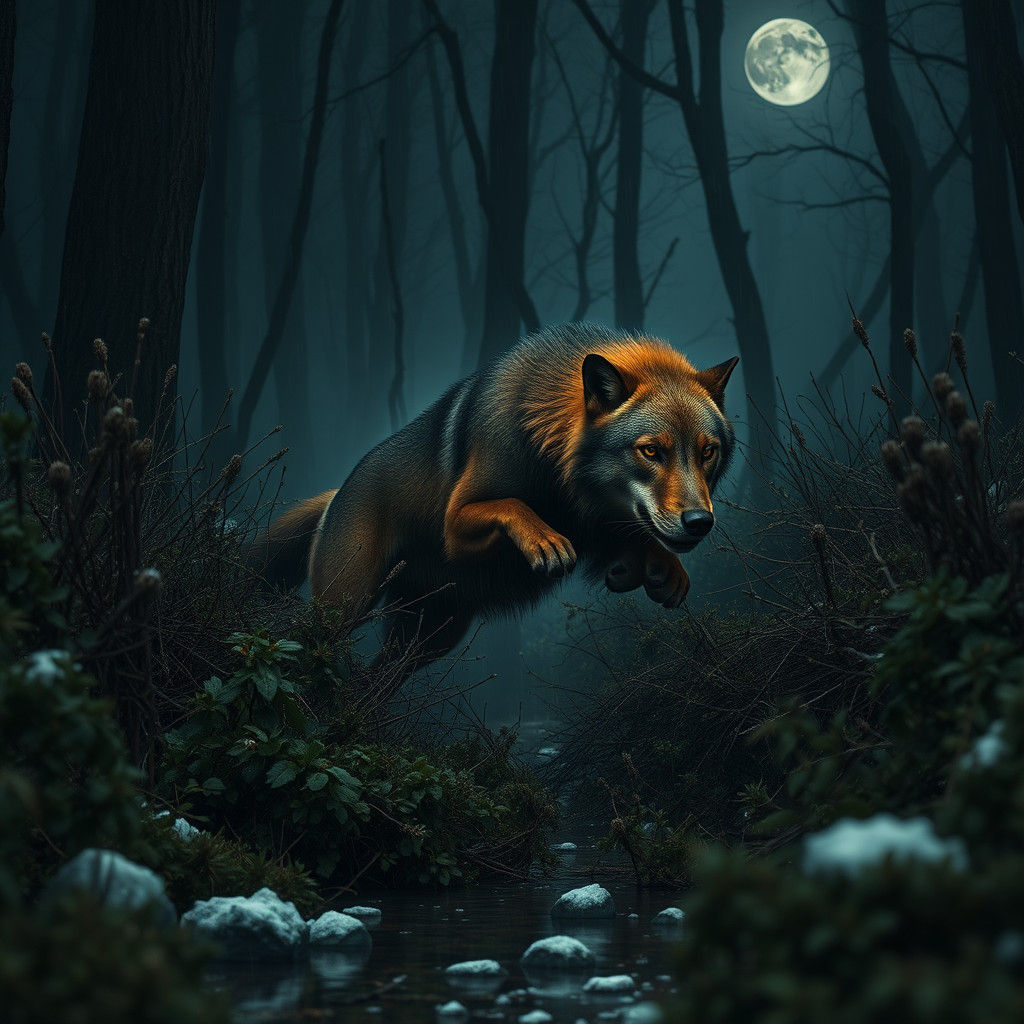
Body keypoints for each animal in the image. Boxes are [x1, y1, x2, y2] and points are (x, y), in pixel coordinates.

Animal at [257, 323, 738, 676]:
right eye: (651, 451)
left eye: (707, 452)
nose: (700, 522)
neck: (551, 456)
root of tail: (337, 493)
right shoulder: (455, 523)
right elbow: (512, 505)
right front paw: (547, 542)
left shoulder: (599, 522)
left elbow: (634, 541)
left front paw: (656, 571)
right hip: (345, 607)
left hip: (431, 639)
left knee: (375, 678)